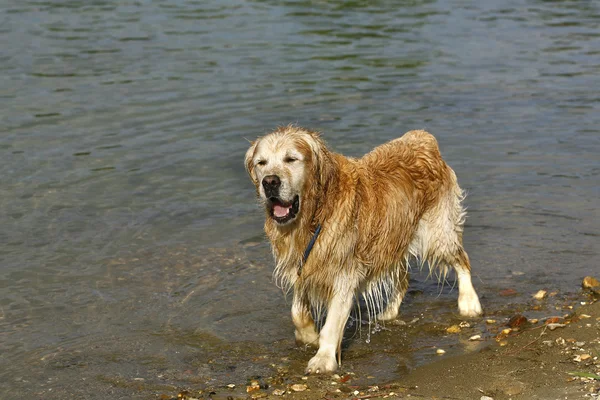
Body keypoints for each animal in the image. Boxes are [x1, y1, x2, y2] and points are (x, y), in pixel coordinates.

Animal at [244, 126, 482, 376]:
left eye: (291, 159)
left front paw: (323, 359)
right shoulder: (303, 265)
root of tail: (422, 137)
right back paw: (388, 312)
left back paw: (469, 303)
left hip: (436, 233)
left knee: (461, 260)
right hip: (393, 239)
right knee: (403, 278)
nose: (270, 182)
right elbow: (297, 313)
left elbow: (332, 323)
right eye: (261, 163)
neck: (316, 213)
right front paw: (310, 336)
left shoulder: (344, 272)